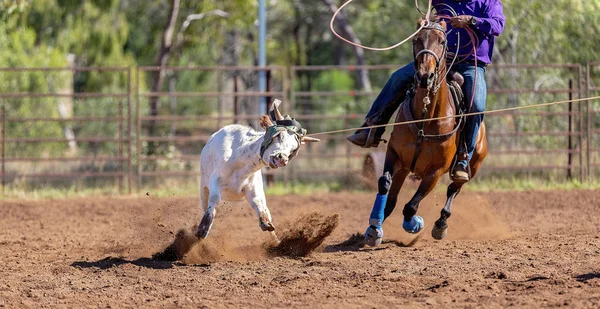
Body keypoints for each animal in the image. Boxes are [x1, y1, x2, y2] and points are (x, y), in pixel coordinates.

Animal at [196, 100, 318, 237]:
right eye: (279, 136)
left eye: (294, 148)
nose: (282, 159)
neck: (239, 158)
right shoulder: (215, 180)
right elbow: (214, 199)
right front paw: (203, 228)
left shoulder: (253, 189)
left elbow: (258, 205)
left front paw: (266, 223)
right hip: (203, 189)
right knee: (205, 204)